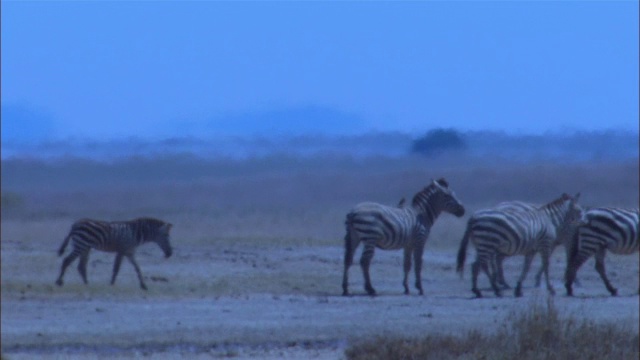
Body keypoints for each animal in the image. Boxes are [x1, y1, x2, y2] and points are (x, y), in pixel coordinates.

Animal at [456, 194, 584, 298]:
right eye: (579, 211)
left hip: (482, 245)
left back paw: (477, 290)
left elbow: (526, 268)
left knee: (476, 265)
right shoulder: (545, 244)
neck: (550, 219)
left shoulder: (532, 250)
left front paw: (518, 289)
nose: (584, 223)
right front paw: (550, 289)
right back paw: (496, 289)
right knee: (483, 265)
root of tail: (473, 217)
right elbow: (546, 265)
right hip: (487, 244)